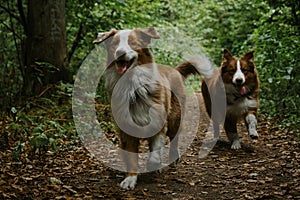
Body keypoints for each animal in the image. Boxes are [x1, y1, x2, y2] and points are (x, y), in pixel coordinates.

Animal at [93, 27, 204, 189]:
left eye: (133, 43)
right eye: (114, 44)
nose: (120, 53)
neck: (133, 88)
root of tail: (174, 69)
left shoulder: (159, 122)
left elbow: (156, 151)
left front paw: (153, 164)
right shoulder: (126, 130)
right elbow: (132, 158)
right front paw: (130, 179)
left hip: (175, 119)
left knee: (174, 139)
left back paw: (173, 157)